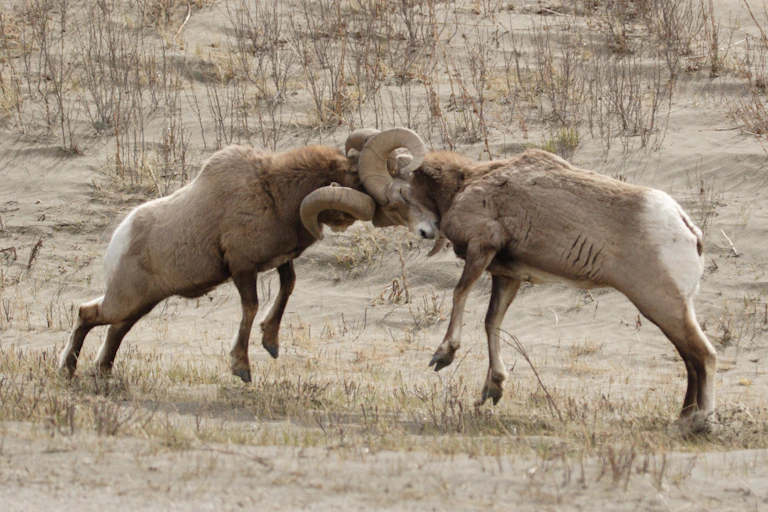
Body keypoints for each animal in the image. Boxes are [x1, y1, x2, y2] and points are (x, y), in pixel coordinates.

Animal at [58, 132, 423, 383]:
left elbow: (287, 288)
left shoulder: (279, 262)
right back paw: (67, 369)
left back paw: (101, 372)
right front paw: (241, 368)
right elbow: (251, 307)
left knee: (114, 331)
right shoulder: (242, 267)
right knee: (87, 314)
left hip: (140, 305)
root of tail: (118, 239)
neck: (273, 194)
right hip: (126, 301)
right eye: (360, 183)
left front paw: (271, 344)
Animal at [351, 128, 716, 425]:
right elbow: (491, 322)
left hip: (661, 306)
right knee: (691, 360)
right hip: (669, 309)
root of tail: (688, 229)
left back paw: (696, 423)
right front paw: (492, 390)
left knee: (703, 356)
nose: (425, 233)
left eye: (400, 195)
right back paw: (684, 419)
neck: (465, 186)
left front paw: (444, 355)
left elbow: (458, 295)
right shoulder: (506, 276)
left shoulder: (482, 247)